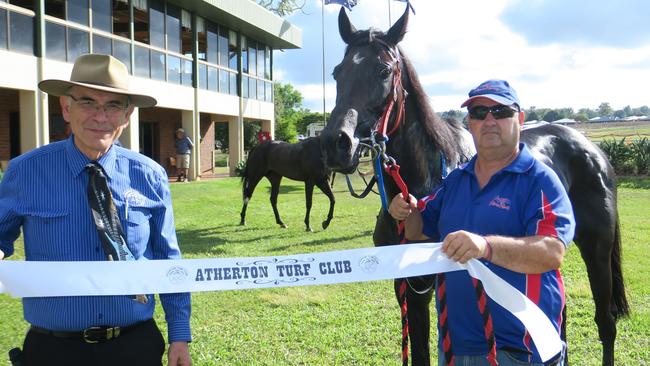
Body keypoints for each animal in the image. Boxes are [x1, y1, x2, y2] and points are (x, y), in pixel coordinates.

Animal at [318, 6, 628, 366]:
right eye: (337, 72)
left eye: (383, 70)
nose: (336, 143)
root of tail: (590, 148)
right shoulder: (409, 288)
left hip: (597, 249)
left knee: (606, 322)